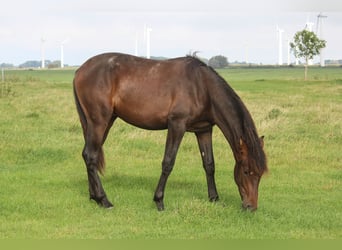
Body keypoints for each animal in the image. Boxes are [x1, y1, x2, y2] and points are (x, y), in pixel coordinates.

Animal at [73, 52, 268, 211]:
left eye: (260, 174)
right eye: (246, 171)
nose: (251, 207)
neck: (202, 87)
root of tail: (79, 71)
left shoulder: (204, 130)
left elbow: (209, 164)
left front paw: (214, 198)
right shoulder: (177, 125)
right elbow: (168, 163)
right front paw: (159, 201)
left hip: (104, 122)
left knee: (88, 155)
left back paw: (94, 196)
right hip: (99, 121)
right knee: (91, 155)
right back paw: (104, 200)